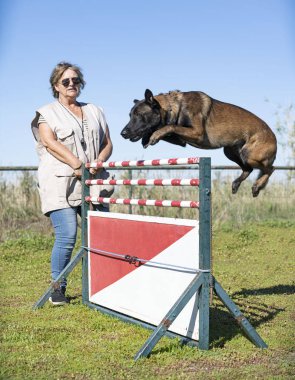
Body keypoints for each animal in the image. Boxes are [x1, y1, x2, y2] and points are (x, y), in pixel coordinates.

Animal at [121, 88, 278, 196]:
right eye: (130, 115)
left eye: (139, 115)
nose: (123, 133)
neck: (175, 107)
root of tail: (274, 137)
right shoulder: (181, 139)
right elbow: (168, 128)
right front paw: (148, 137)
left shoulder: (197, 133)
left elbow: (169, 127)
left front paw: (153, 136)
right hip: (230, 152)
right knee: (248, 169)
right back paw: (237, 184)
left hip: (249, 154)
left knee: (270, 169)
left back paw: (257, 186)